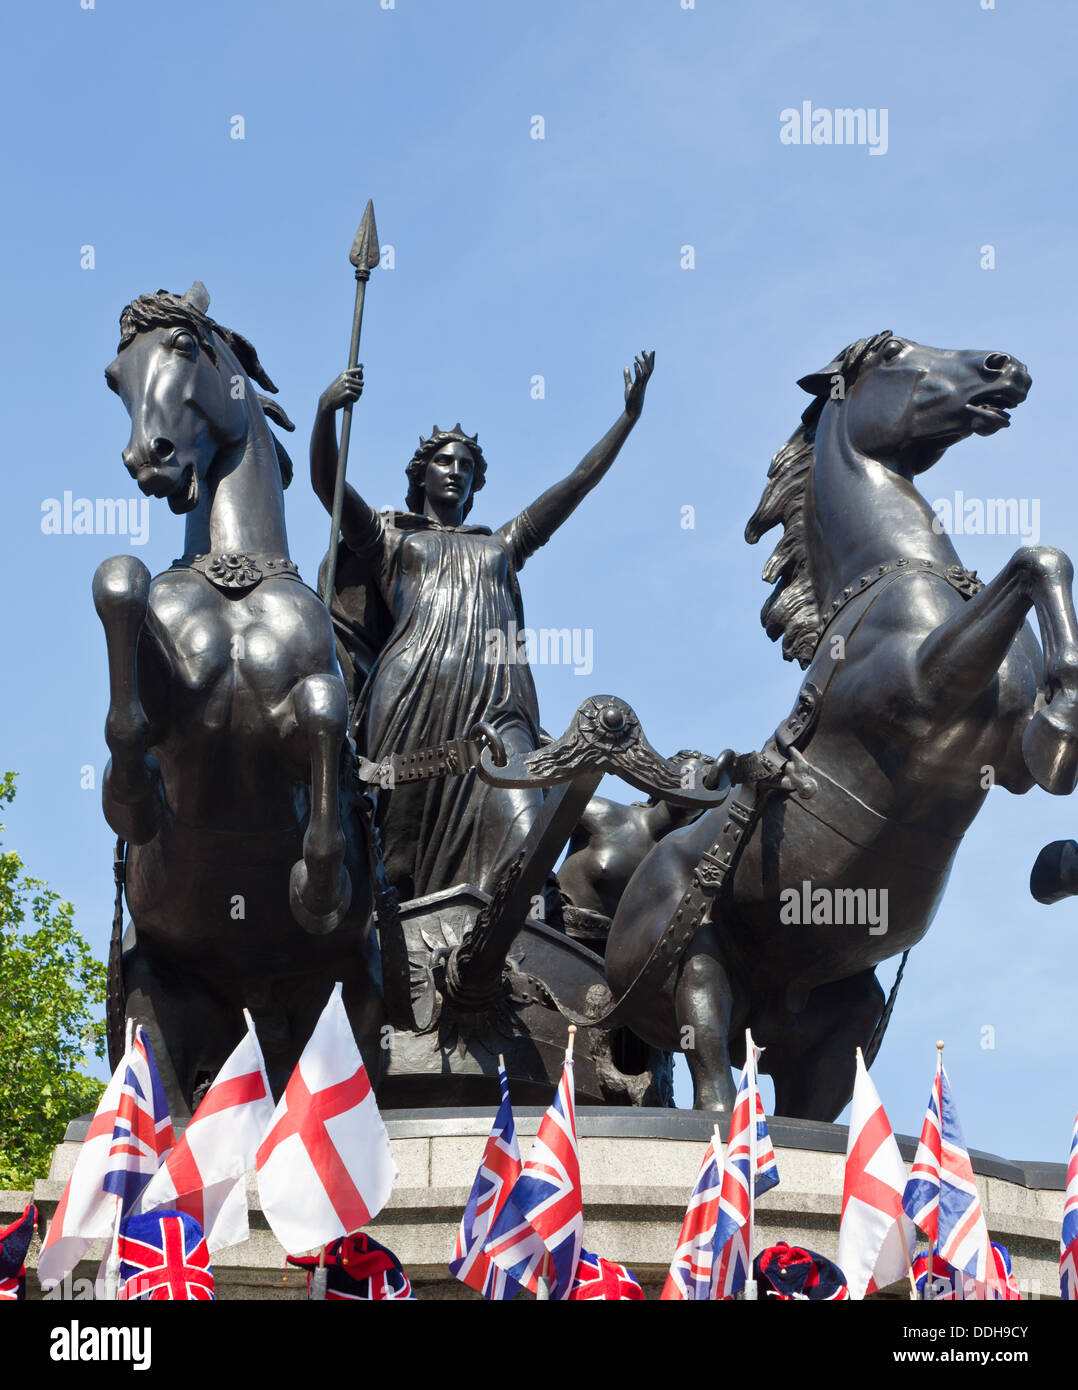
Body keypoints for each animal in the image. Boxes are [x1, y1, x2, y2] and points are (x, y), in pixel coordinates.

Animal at [96, 282, 380, 1117]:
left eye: (185, 348)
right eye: (115, 377)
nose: (149, 459)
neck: (237, 578)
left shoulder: (301, 706)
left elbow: (323, 716)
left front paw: (316, 885)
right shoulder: (178, 702)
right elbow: (118, 581)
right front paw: (131, 794)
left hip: (338, 1003)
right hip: (161, 1002)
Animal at [602, 333, 1078, 1117]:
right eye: (891, 351)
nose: (1005, 367)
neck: (893, 577)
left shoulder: (1006, 764)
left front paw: (1057, 836)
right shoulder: (924, 694)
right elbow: (1035, 558)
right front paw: (1063, 716)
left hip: (842, 1016)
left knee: (812, 1105)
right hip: (693, 968)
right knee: (711, 1077)